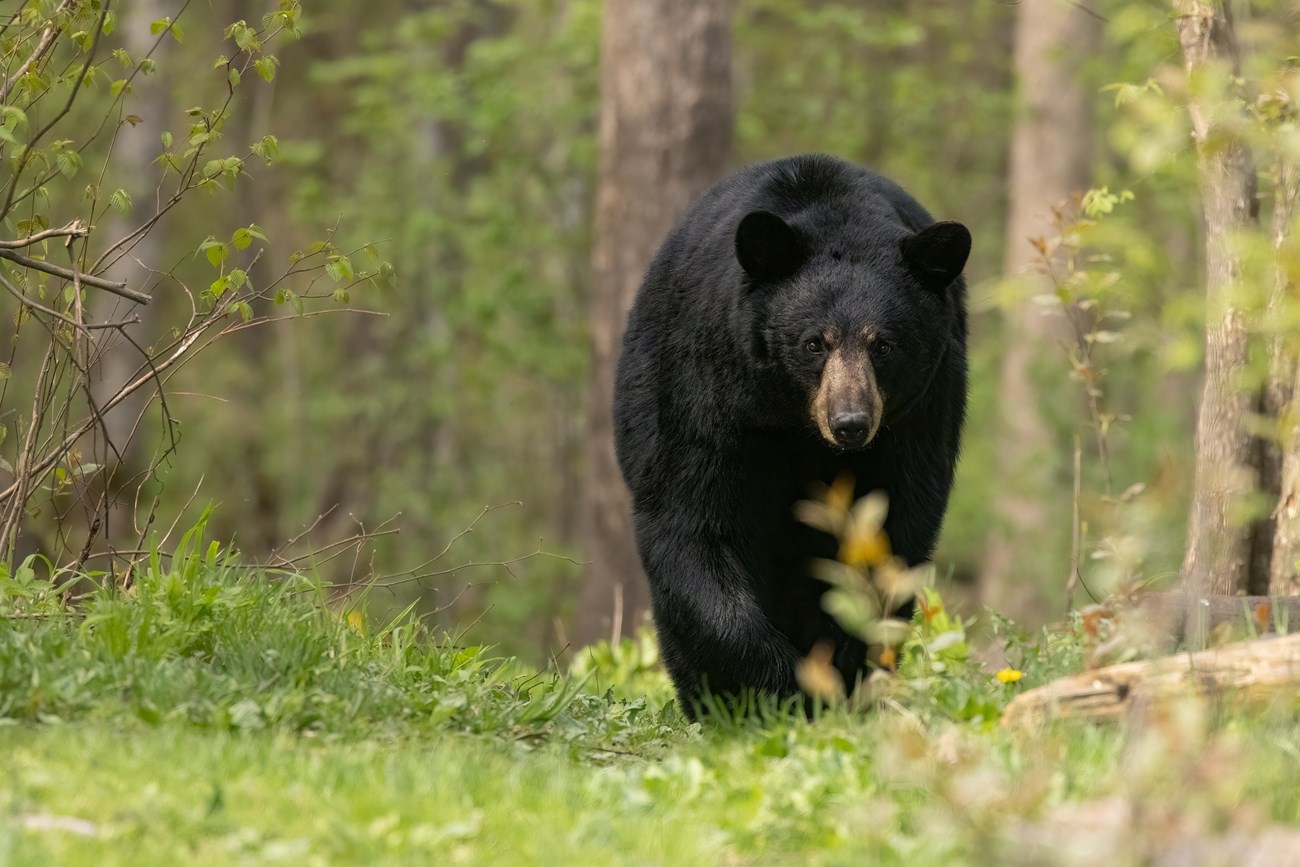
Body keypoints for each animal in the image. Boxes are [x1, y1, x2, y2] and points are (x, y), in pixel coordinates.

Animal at [612, 153, 970, 716]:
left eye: (883, 344)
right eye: (813, 343)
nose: (851, 423)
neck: (793, 421)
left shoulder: (920, 417)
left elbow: (890, 534)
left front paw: (838, 675)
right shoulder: (705, 386)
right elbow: (691, 520)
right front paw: (770, 686)